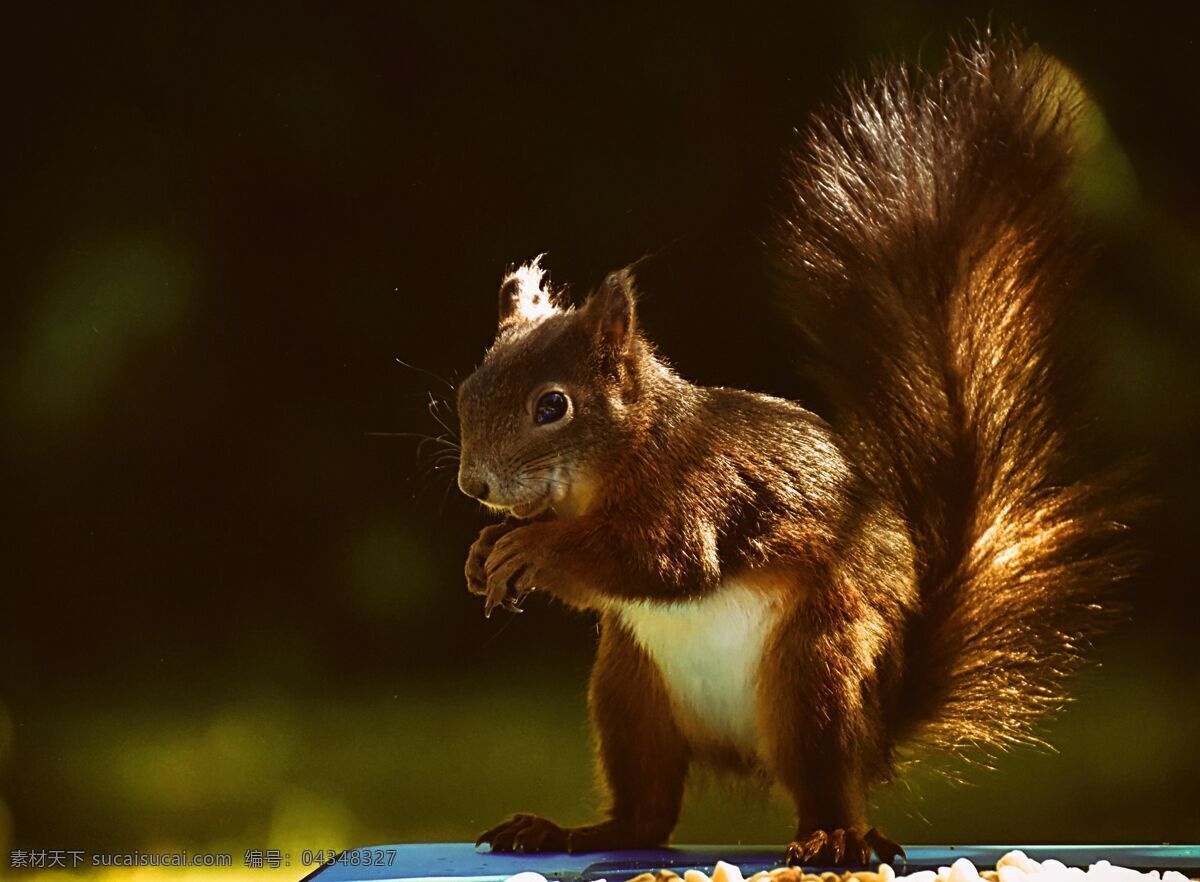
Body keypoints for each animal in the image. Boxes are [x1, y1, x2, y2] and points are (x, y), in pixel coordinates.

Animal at [451, 32, 1132, 868]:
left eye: (553, 407)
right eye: (469, 388)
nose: (475, 485)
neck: (617, 462)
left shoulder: (701, 490)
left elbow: (660, 562)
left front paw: (532, 549)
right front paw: (487, 548)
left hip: (818, 672)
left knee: (818, 787)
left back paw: (836, 838)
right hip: (627, 688)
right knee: (647, 816)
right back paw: (567, 831)